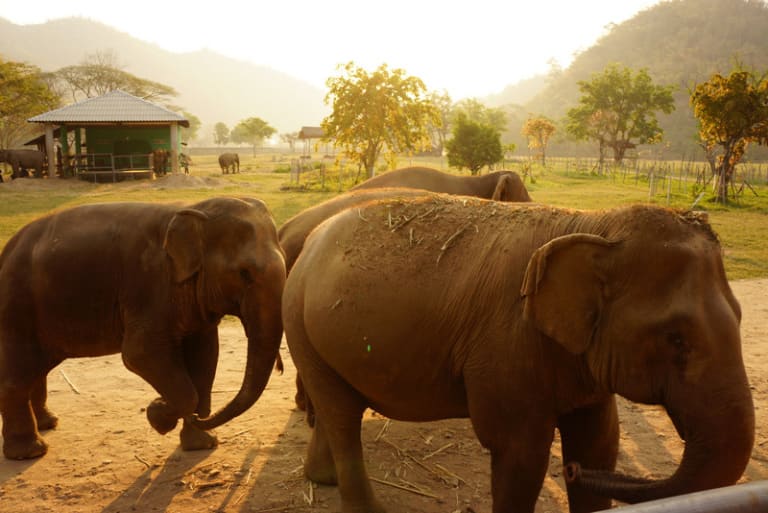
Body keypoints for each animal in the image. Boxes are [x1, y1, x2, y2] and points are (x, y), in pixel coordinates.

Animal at [0, 197, 286, 460]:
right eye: (245, 274)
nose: (201, 418)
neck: (194, 209)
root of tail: (7, 250)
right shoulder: (148, 286)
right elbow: (140, 354)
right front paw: (158, 415)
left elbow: (205, 357)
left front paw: (201, 442)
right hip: (17, 308)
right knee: (18, 373)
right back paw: (29, 451)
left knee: (37, 369)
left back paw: (48, 423)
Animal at [281, 195, 754, 513]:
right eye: (677, 338)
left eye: (741, 315)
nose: (569, 471)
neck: (595, 225)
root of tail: (309, 242)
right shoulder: (506, 343)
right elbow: (520, 454)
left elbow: (599, 442)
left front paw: (583, 462)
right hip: (301, 325)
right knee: (342, 414)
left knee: (337, 407)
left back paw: (321, 480)